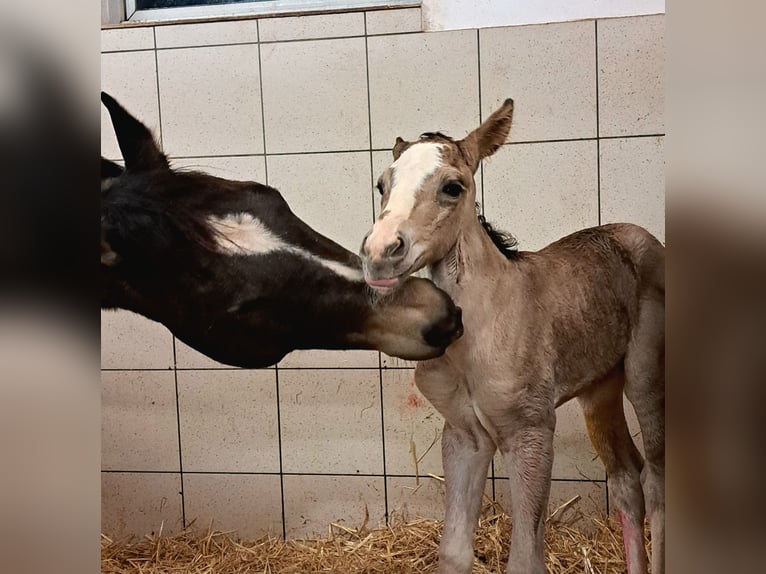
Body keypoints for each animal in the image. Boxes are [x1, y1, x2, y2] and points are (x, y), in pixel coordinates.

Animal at [360, 99, 664, 574]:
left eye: (452, 187)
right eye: (381, 185)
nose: (379, 253)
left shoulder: (530, 431)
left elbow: (524, 559)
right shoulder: (464, 435)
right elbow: (454, 552)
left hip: (645, 376)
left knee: (656, 481)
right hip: (599, 389)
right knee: (626, 476)